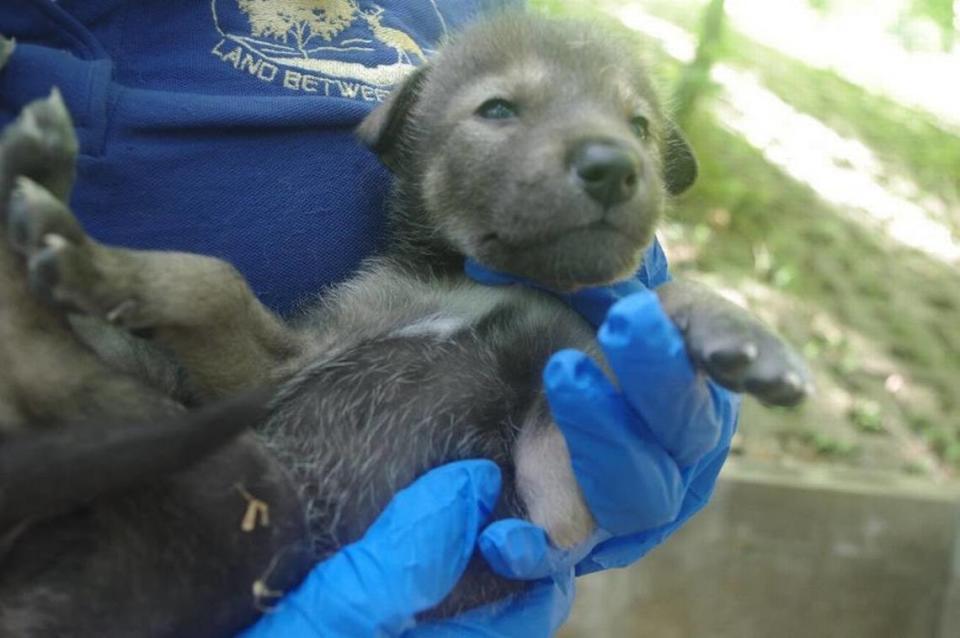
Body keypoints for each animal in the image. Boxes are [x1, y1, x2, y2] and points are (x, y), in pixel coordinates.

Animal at [0, 13, 808, 636]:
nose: (613, 164)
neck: (473, 281)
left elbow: (626, 334)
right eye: (497, 110)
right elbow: (214, 283)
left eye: (638, 124)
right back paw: (45, 192)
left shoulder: (552, 500)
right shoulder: (279, 368)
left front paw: (729, 328)